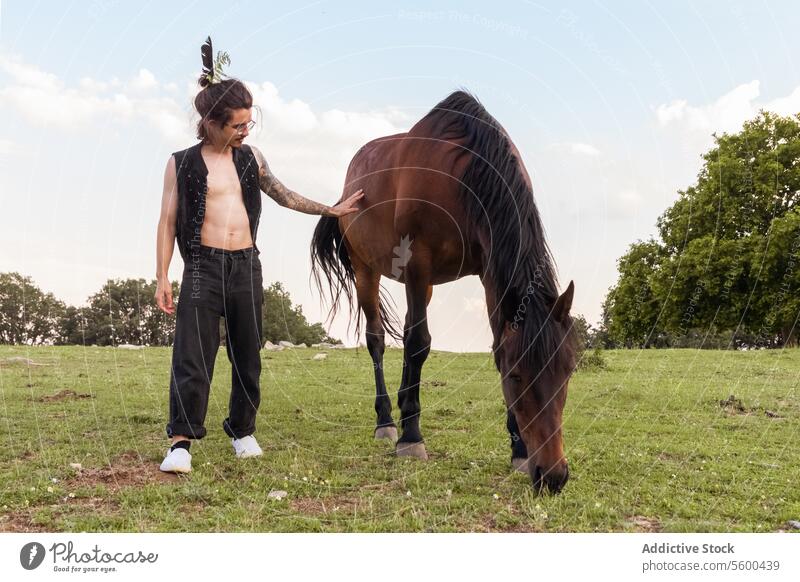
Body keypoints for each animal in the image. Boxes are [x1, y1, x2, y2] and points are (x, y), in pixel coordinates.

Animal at [310, 92, 580, 498]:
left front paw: (517, 449)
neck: (461, 176)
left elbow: (487, 343)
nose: (553, 476)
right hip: (366, 270)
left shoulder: (487, 271)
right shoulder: (417, 263)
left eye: (567, 371)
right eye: (516, 376)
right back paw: (387, 421)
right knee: (378, 339)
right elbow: (418, 343)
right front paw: (411, 437)